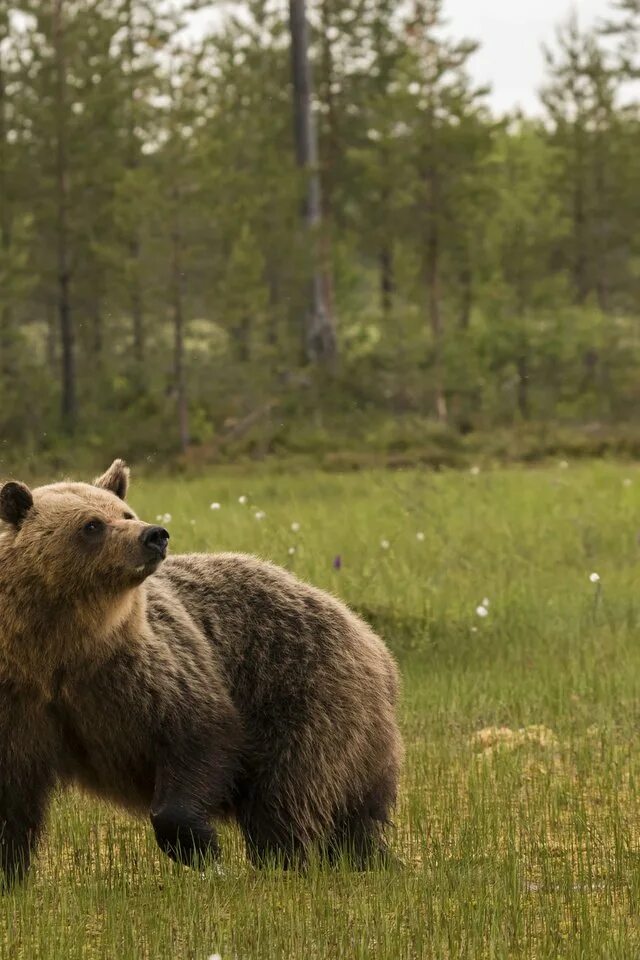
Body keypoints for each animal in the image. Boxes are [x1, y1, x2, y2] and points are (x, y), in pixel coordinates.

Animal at [0, 458, 402, 884]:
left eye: (125, 513)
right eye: (92, 525)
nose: (154, 535)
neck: (60, 649)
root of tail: (372, 639)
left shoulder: (145, 673)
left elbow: (199, 733)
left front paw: (202, 847)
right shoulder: (21, 700)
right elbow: (10, 799)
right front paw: (9, 872)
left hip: (308, 692)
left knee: (290, 792)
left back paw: (286, 863)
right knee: (350, 817)